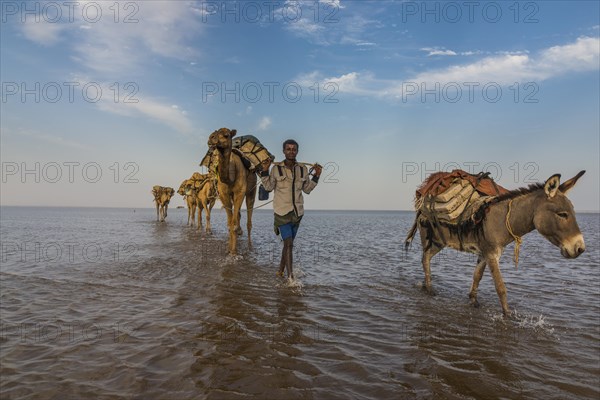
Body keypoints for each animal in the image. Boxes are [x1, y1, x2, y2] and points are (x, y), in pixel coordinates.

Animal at [207, 126, 256, 255]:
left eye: (226, 135)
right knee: (237, 214)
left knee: (249, 217)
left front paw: (234, 252)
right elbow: (230, 223)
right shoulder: (223, 194)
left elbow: (233, 222)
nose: (211, 138)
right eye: (215, 133)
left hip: (251, 190)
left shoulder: (240, 192)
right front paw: (229, 249)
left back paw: (250, 246)